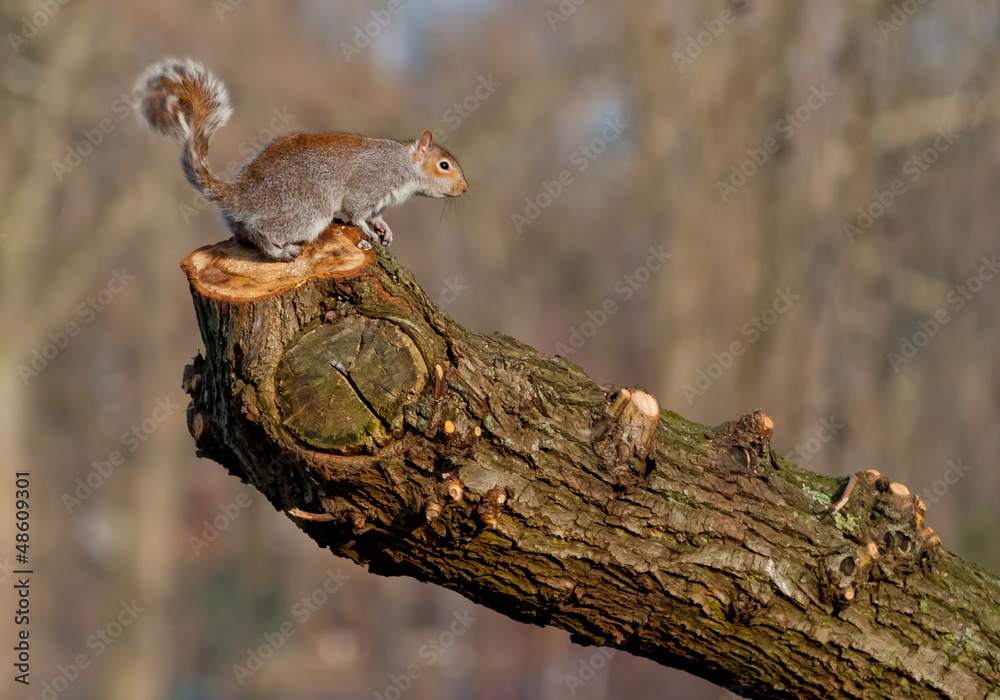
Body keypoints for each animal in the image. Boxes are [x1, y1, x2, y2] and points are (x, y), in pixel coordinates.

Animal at [134, 58, 468, 261]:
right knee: (262, 231)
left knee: (244, 234)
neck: (403, 164)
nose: (465, 189)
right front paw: (367, 229)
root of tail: (243, 194)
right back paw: (280, 252)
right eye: (444, 165)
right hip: (307, 211)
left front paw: (384, 228)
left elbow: (377, 215)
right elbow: (357, 211)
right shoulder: (371, 180)